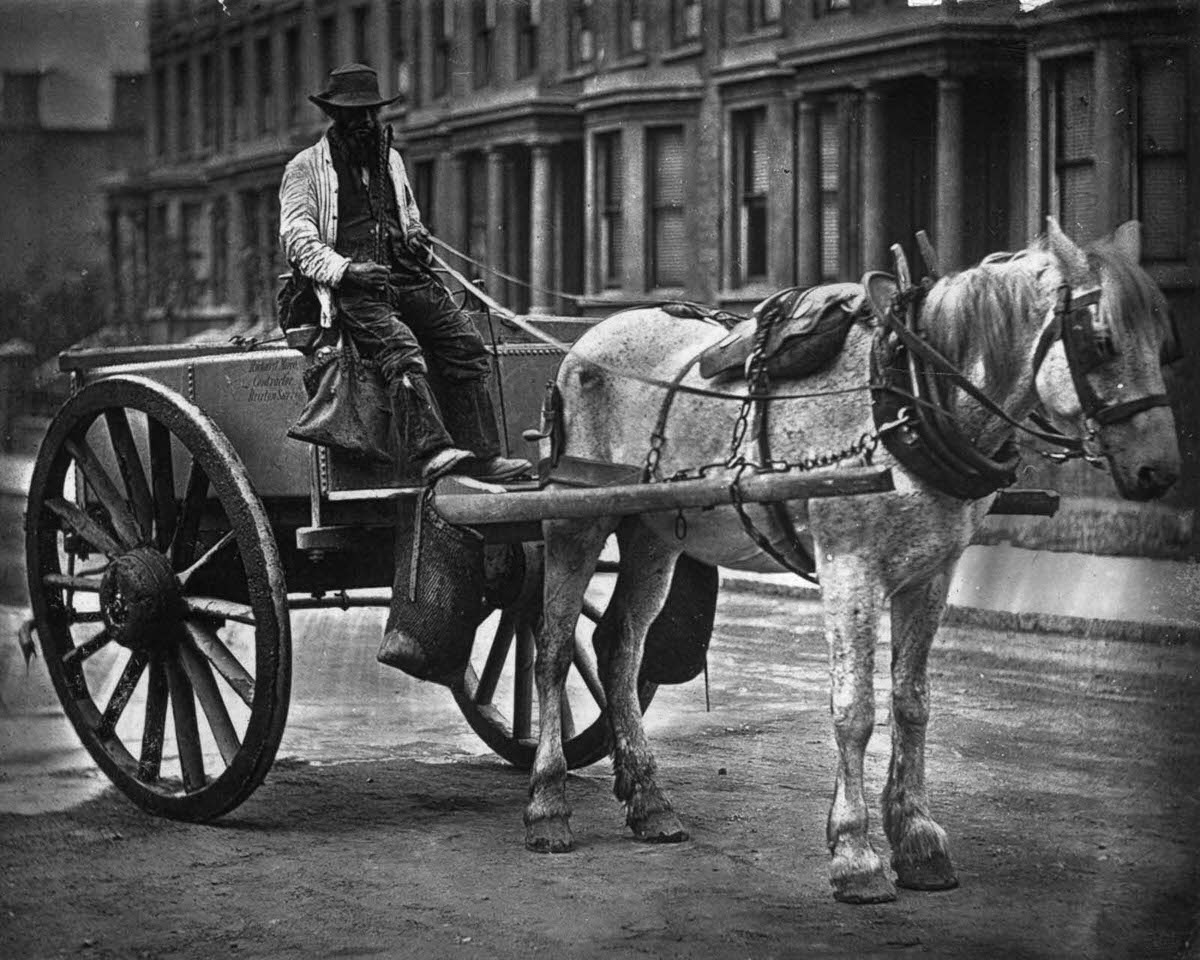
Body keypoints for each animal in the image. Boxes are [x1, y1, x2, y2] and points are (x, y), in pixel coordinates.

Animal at [523, 217, 1180, 902]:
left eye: (1164, 345)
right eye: (1101, 342)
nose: (1159, 471)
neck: (910, 397)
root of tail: (582, 346)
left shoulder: (932, 572)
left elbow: (913, 702)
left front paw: (917, 838)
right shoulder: (849, 564)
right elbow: (855, 709)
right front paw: (856, 852)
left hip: (653, 529)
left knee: (619, 650)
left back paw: (649, 799)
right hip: (574, 521)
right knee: (551, 651)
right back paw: (547, 803)